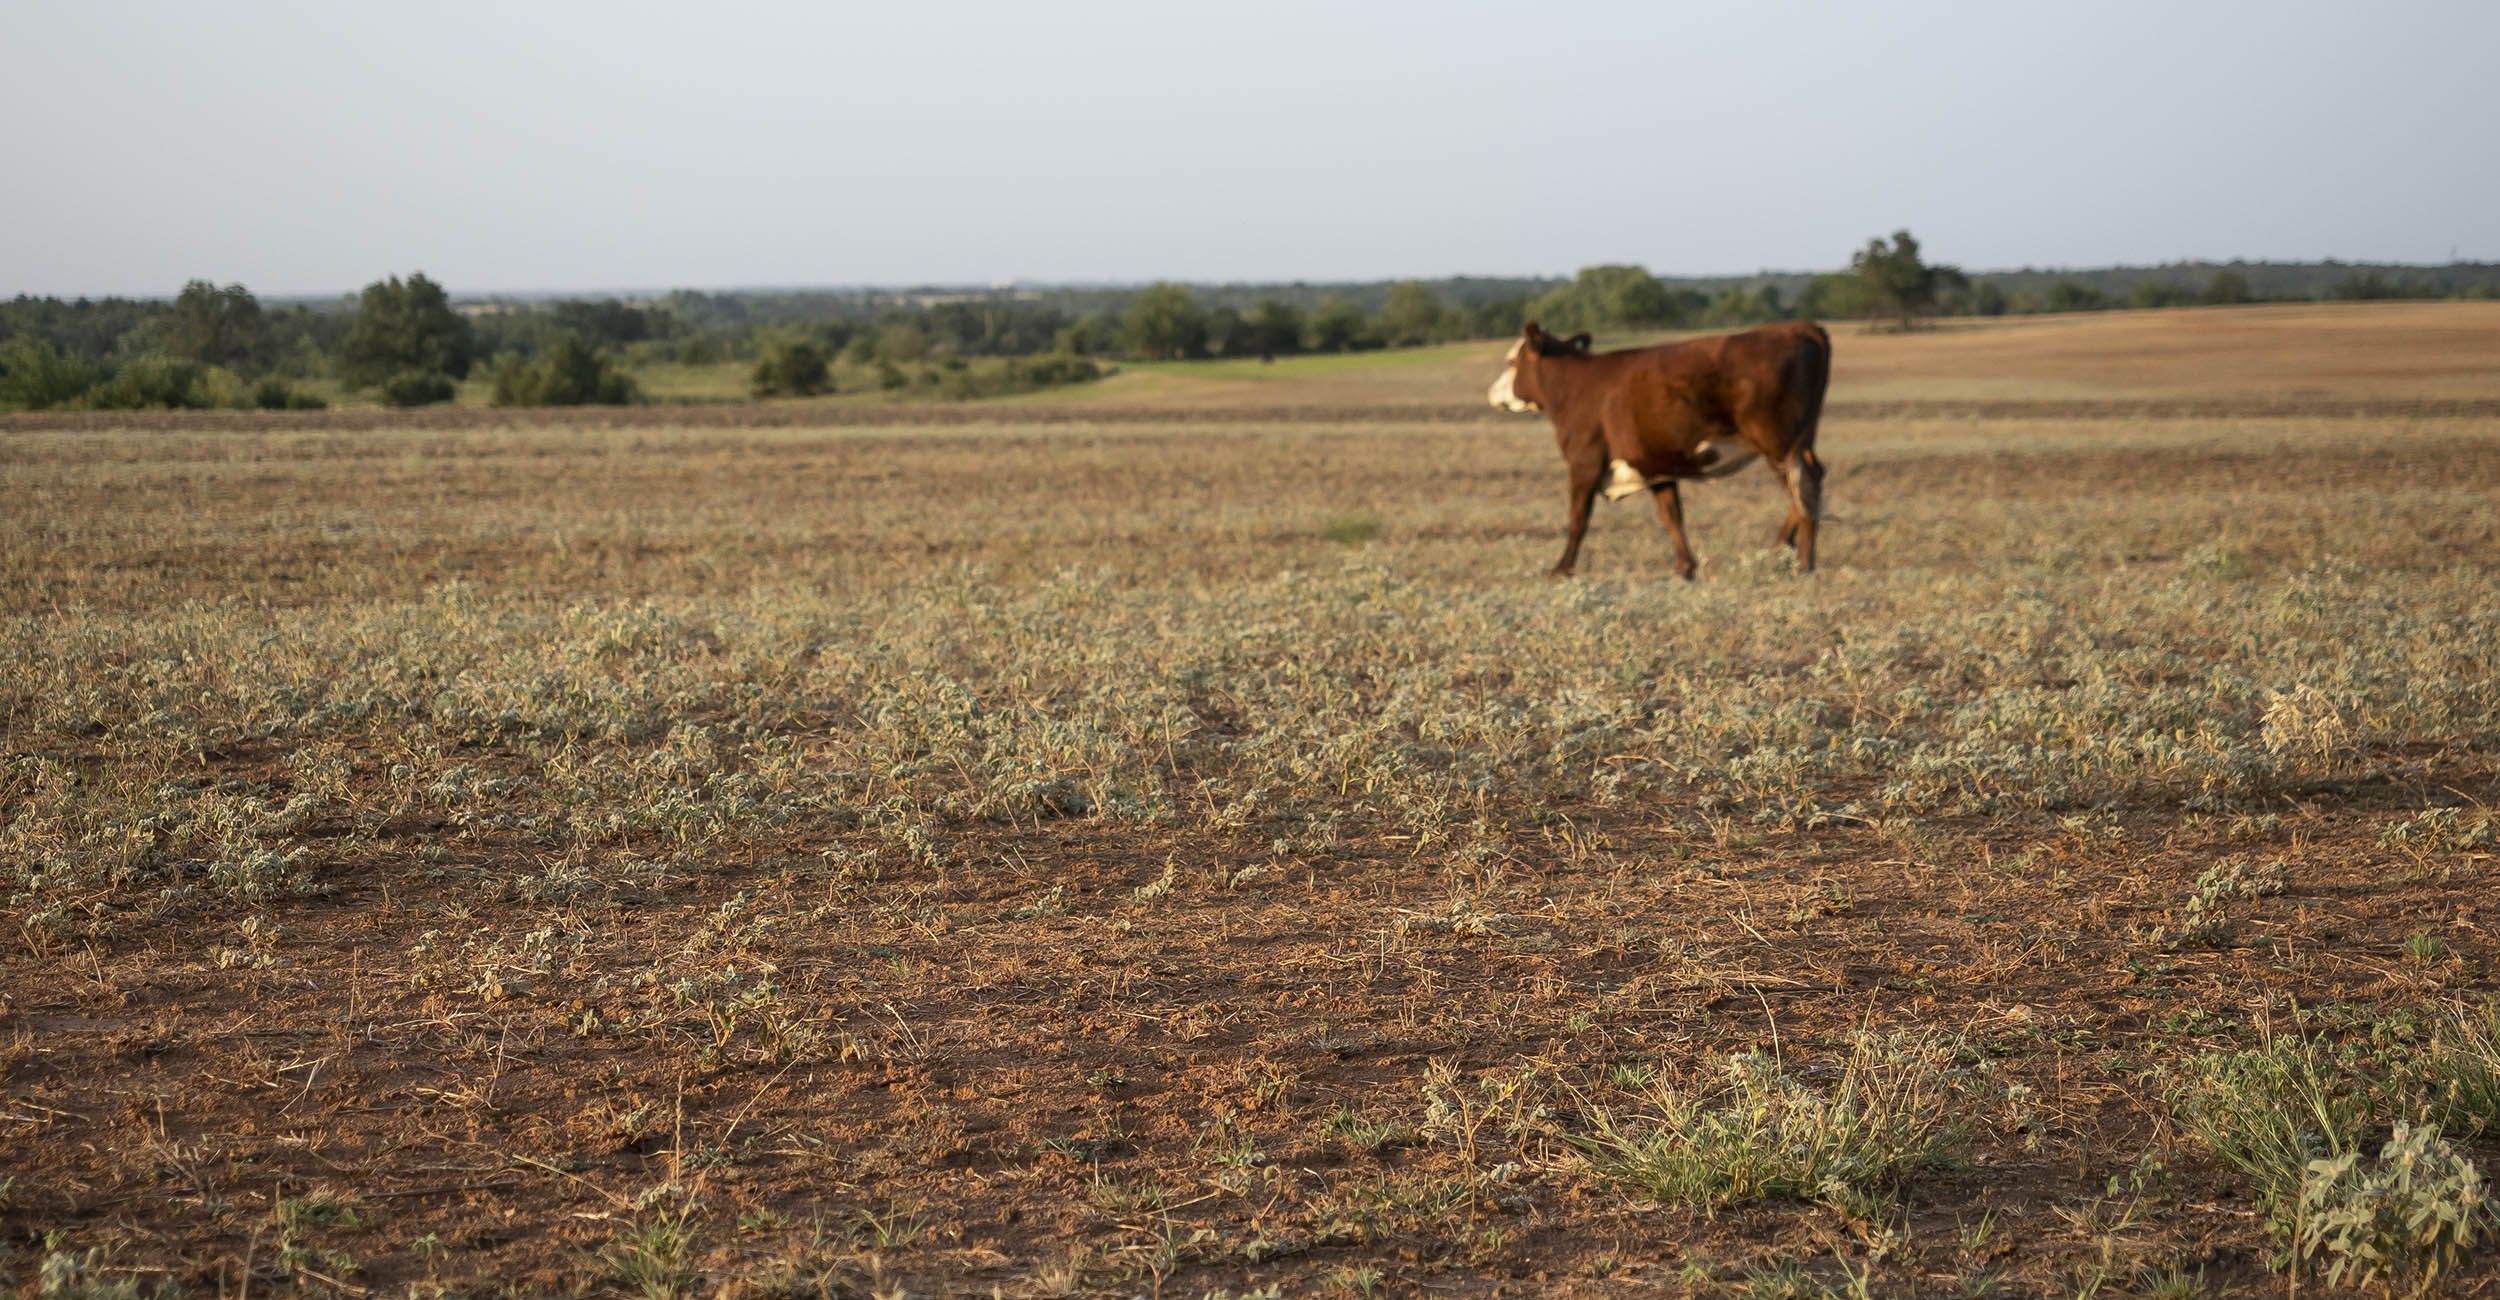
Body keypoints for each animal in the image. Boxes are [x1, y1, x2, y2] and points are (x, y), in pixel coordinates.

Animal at [1488, 319, 1831, 578]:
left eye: (1510, 361)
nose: (1491, 393)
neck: (1576, 387)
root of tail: (1798, 327)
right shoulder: (1653, 463)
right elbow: (1671, 516)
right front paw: (1685, 567)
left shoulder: (1584, 462)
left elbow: (1578, 519)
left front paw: (1561, 569)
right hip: (1798, 443)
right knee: (1807, 489)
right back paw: (1780, 549)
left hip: (1779, 444)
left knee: (1805, 486)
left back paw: (1803, 564)